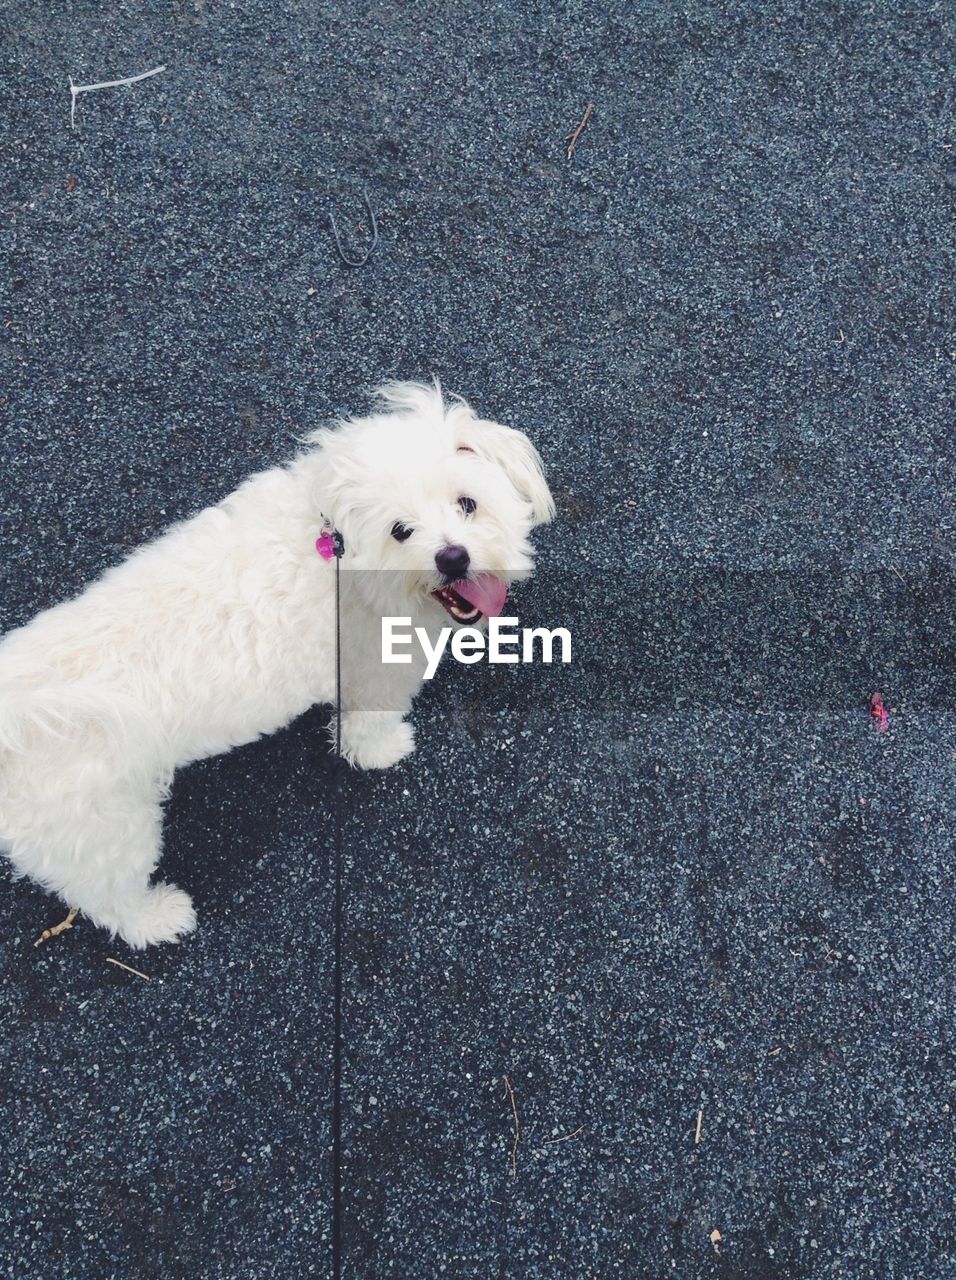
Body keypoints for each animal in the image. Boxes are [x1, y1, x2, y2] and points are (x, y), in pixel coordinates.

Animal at [0, 384, 552, 947]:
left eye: (467, 504)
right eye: (401, 530)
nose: (453, 558)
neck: (341, 553)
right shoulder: (372, 675)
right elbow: (366, 729)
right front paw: (384, 752)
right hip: (104, 834)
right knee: (110, 898)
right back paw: (158, 918)